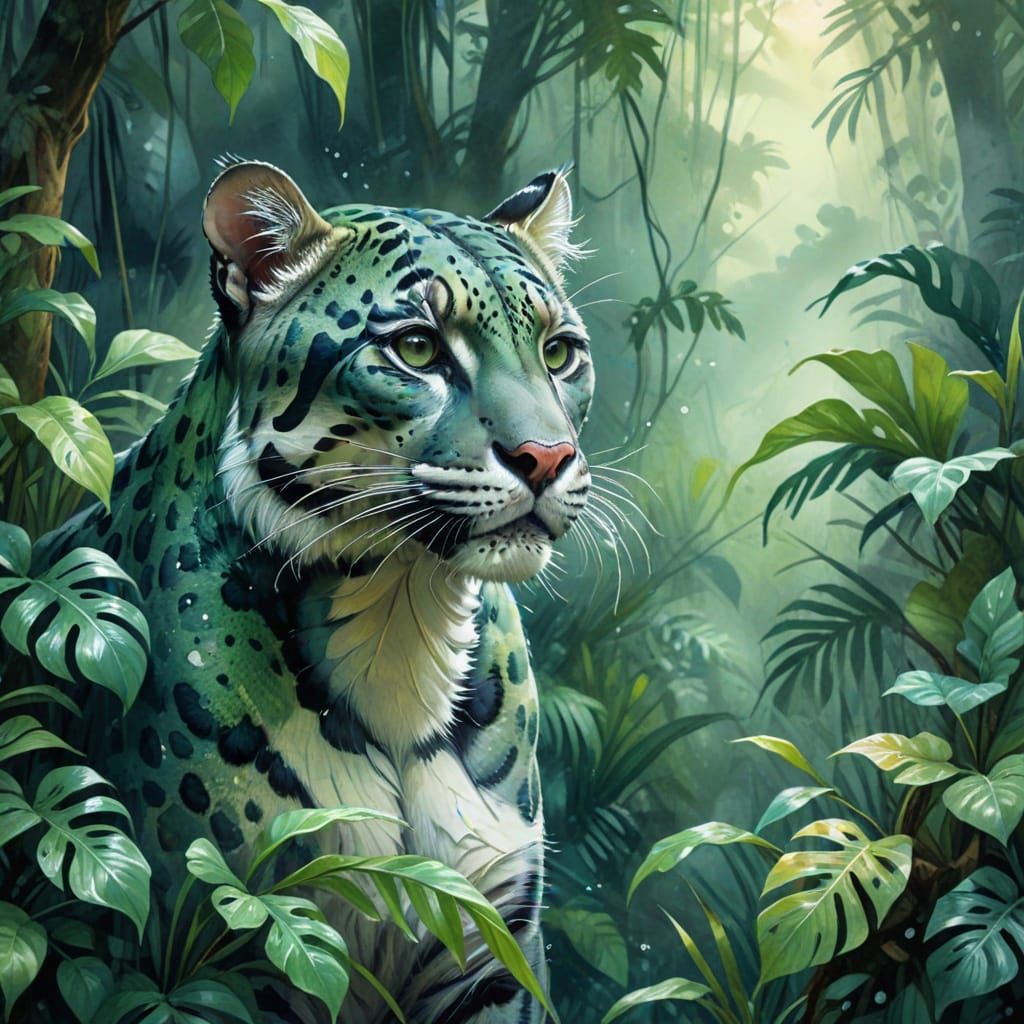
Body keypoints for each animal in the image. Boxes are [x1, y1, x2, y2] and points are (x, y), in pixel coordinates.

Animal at [48, 160, 595, 1023]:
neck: (403, 620)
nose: (547, 456)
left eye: (560, 352)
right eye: (416, 348)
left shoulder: (497, 949)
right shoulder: (233, 938)